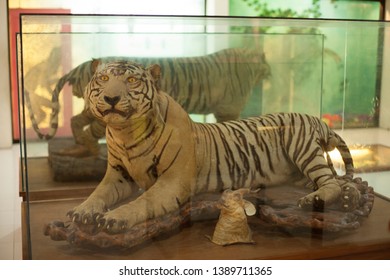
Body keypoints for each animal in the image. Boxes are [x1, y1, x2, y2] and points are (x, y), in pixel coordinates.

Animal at [30, 47, 270, 155]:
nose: (271, 72)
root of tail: (80, 67)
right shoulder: (228, 110)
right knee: (91, 132)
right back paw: (87, 151)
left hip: (96, 108)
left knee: (76, 121)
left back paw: (78, 147)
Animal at [66, 61, 360, 234]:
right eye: (103, 78)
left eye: (131, 81)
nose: (111, 98)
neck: (125, 132)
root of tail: (317, 119)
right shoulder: (118, 175)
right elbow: (97, 195)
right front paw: (81, 212)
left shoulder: (172, 181)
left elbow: (141, 202)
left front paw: (114, 218)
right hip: (300, 172)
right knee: (340, 181)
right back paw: (350, 197)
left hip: (303, 150)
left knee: (330, 182)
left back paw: (317, 200)